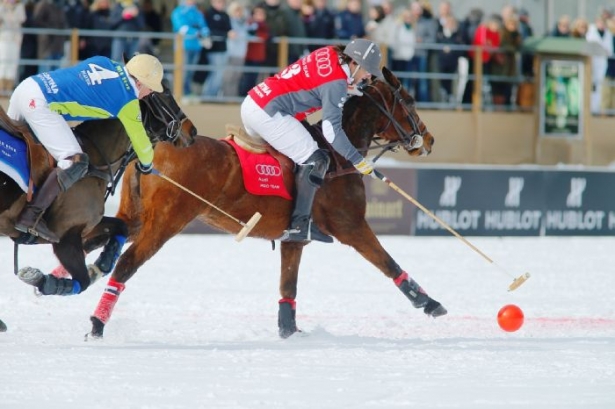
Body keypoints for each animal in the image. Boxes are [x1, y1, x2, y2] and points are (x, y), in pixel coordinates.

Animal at [0, 87, 195, 296]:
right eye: (165, 94)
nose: (192, 131)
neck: (95, 163)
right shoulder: (66, 237)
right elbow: (82, 281)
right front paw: (41, 280)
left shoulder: (87, 227)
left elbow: (120, 226)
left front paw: (104, 262)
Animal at [84, 67, 446, 338]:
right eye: (409, 101)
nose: (429, 140)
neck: (338, 156)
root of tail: (148, 149)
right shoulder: (351, 225)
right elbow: (387, 261)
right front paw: (429, 303)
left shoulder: (294, 239)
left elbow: (288, 285)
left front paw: (289, 331)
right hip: (166, 220)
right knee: (127, 263)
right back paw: (97, 324)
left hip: (136, 215)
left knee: (102, 235)